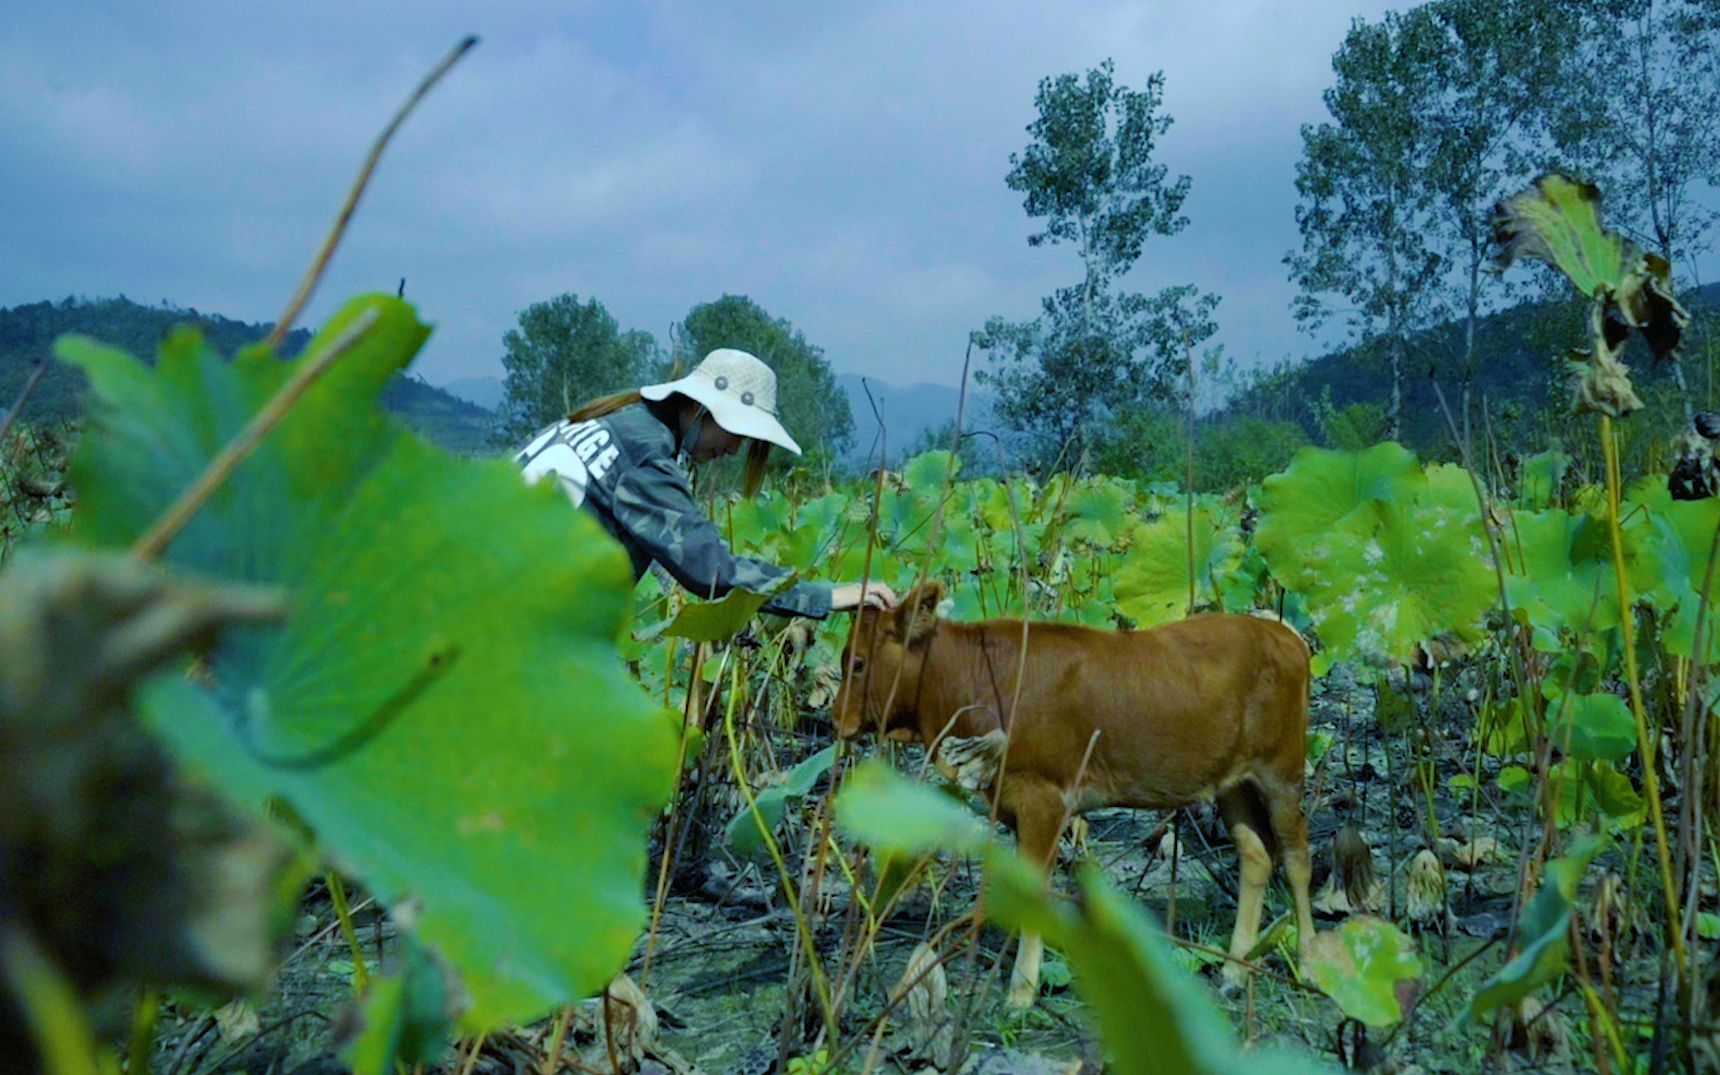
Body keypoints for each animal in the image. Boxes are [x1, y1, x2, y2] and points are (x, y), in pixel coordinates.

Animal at [832, 581, 1314, 1004]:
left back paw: (1309, 964)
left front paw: (1021, 991)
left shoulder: (1044, 797)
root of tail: (1283, 634)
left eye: (857, 663)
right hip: (1233, 781)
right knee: (1256, 855)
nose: (836, 719)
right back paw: (1234, 971)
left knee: (1295, 857)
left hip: (1282, 769)